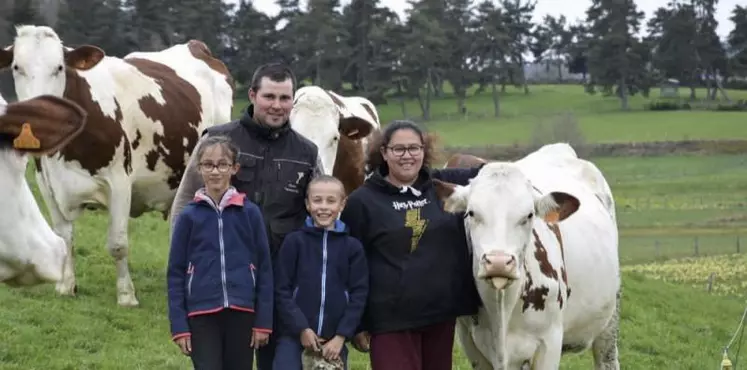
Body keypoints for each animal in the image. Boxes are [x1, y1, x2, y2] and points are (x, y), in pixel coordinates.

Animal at [436, 142, 624, 370]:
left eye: (529, 215)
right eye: (471, 213)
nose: (498, 262)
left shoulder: (550, 341)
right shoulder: (470, 343)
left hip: (610, 320)